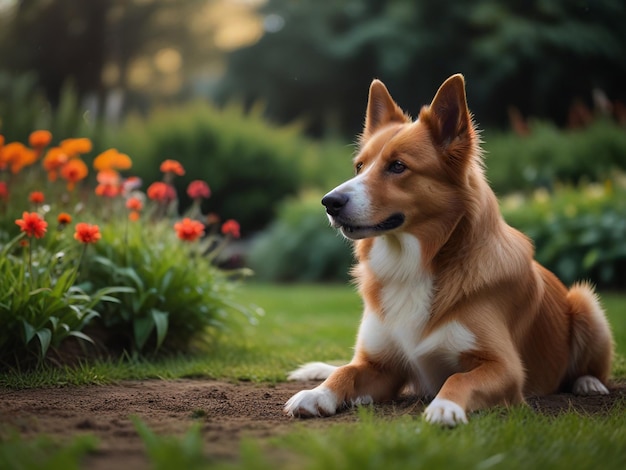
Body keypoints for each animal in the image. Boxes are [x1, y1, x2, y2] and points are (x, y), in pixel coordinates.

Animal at [284, 73, 616, 426]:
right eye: (359, 166)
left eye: (398, 166)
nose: (329, 202)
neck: (414, 265)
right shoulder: (380, 365)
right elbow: (345, 371)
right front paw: (317, 394)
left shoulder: (504, 366)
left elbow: (459, 377)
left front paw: (445, 406)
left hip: (586, 303)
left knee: (591, 366)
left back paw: (588, 382)